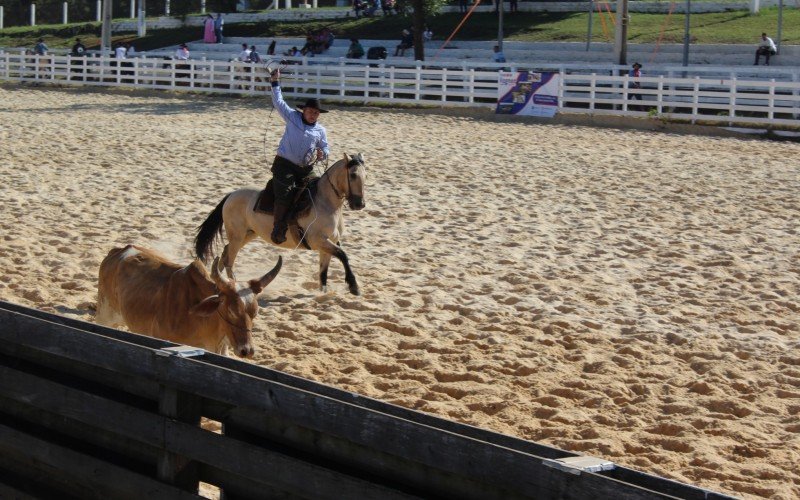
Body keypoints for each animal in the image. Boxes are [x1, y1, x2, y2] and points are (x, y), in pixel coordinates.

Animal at [194, 152, 368, 296]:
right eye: (353, 175)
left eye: (365, 175)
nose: (359, 204)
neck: (326, 203)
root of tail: (231, 195)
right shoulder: (318, 240)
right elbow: (343, 255)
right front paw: (354, 287)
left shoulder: (329, 243)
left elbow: (323, 271)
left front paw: (323, 293)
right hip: (237, 236)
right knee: (229, 260)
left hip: (248, 235)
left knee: (225, 254)